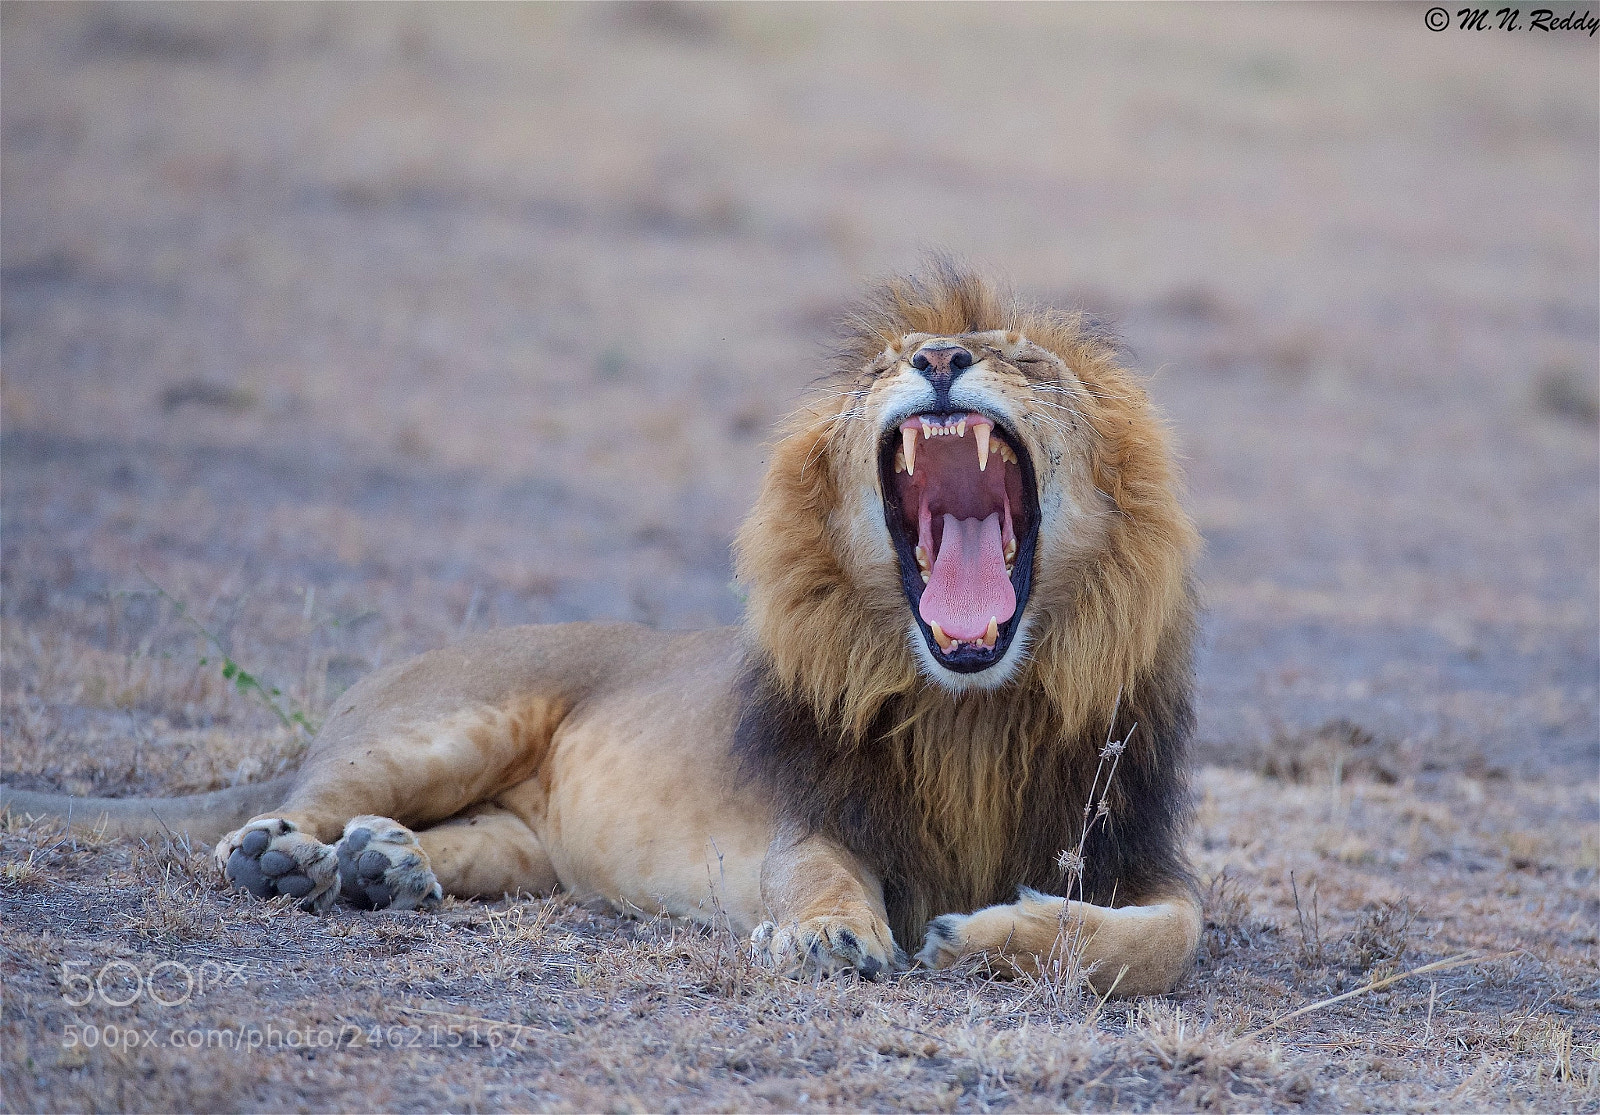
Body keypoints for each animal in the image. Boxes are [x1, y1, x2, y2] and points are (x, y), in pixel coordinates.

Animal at [2, 263, 1202, 994]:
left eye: (1024, 359)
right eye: (880, 365)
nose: (942, 360)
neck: (971, 711)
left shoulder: (1134, 847)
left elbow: (1168, 939)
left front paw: (988, 933)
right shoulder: (808, 815)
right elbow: (821, 875)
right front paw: (834, 936)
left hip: (525, 842)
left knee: (457, 840)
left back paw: (381, 869)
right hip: (444, 726)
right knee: (303, 802)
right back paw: (283, 855)